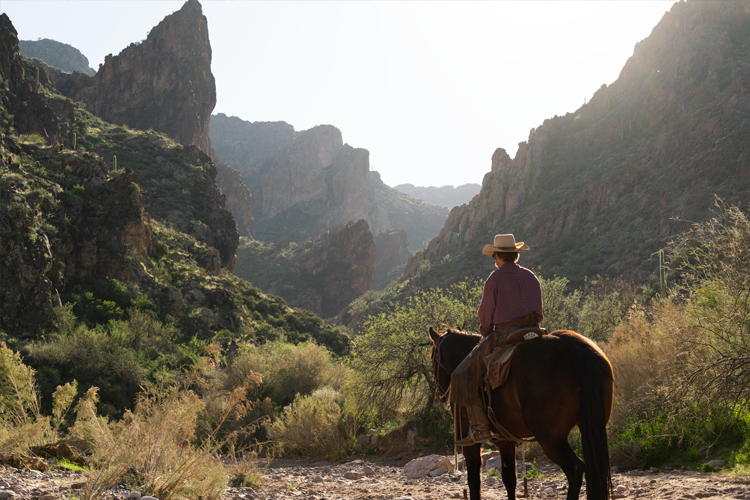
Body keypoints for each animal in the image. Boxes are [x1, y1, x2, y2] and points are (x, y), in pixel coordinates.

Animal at [428, 328, 616, 500]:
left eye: (433, 358)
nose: (442, 394)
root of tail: (579, 352)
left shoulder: (470, 443)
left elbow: (474, 480)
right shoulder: (505, 441)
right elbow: (509, 480)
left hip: (550, 438)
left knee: (575, 469)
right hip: (591, 426)